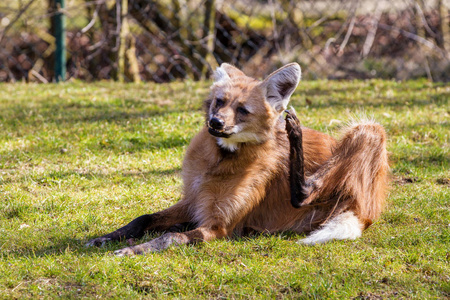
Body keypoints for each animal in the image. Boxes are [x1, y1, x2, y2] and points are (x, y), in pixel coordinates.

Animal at [86, 63, 388, 255]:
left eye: (242, 110)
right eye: (219, 101)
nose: (215, 123)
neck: (220, 160)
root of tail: (365, 212)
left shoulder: (218, 226)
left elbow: (170, 237)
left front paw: (131, 250)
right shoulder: (193, 202)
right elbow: (143, 218)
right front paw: (104, 239)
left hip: (368, 129)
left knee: (305, 192)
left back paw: (295, 134)